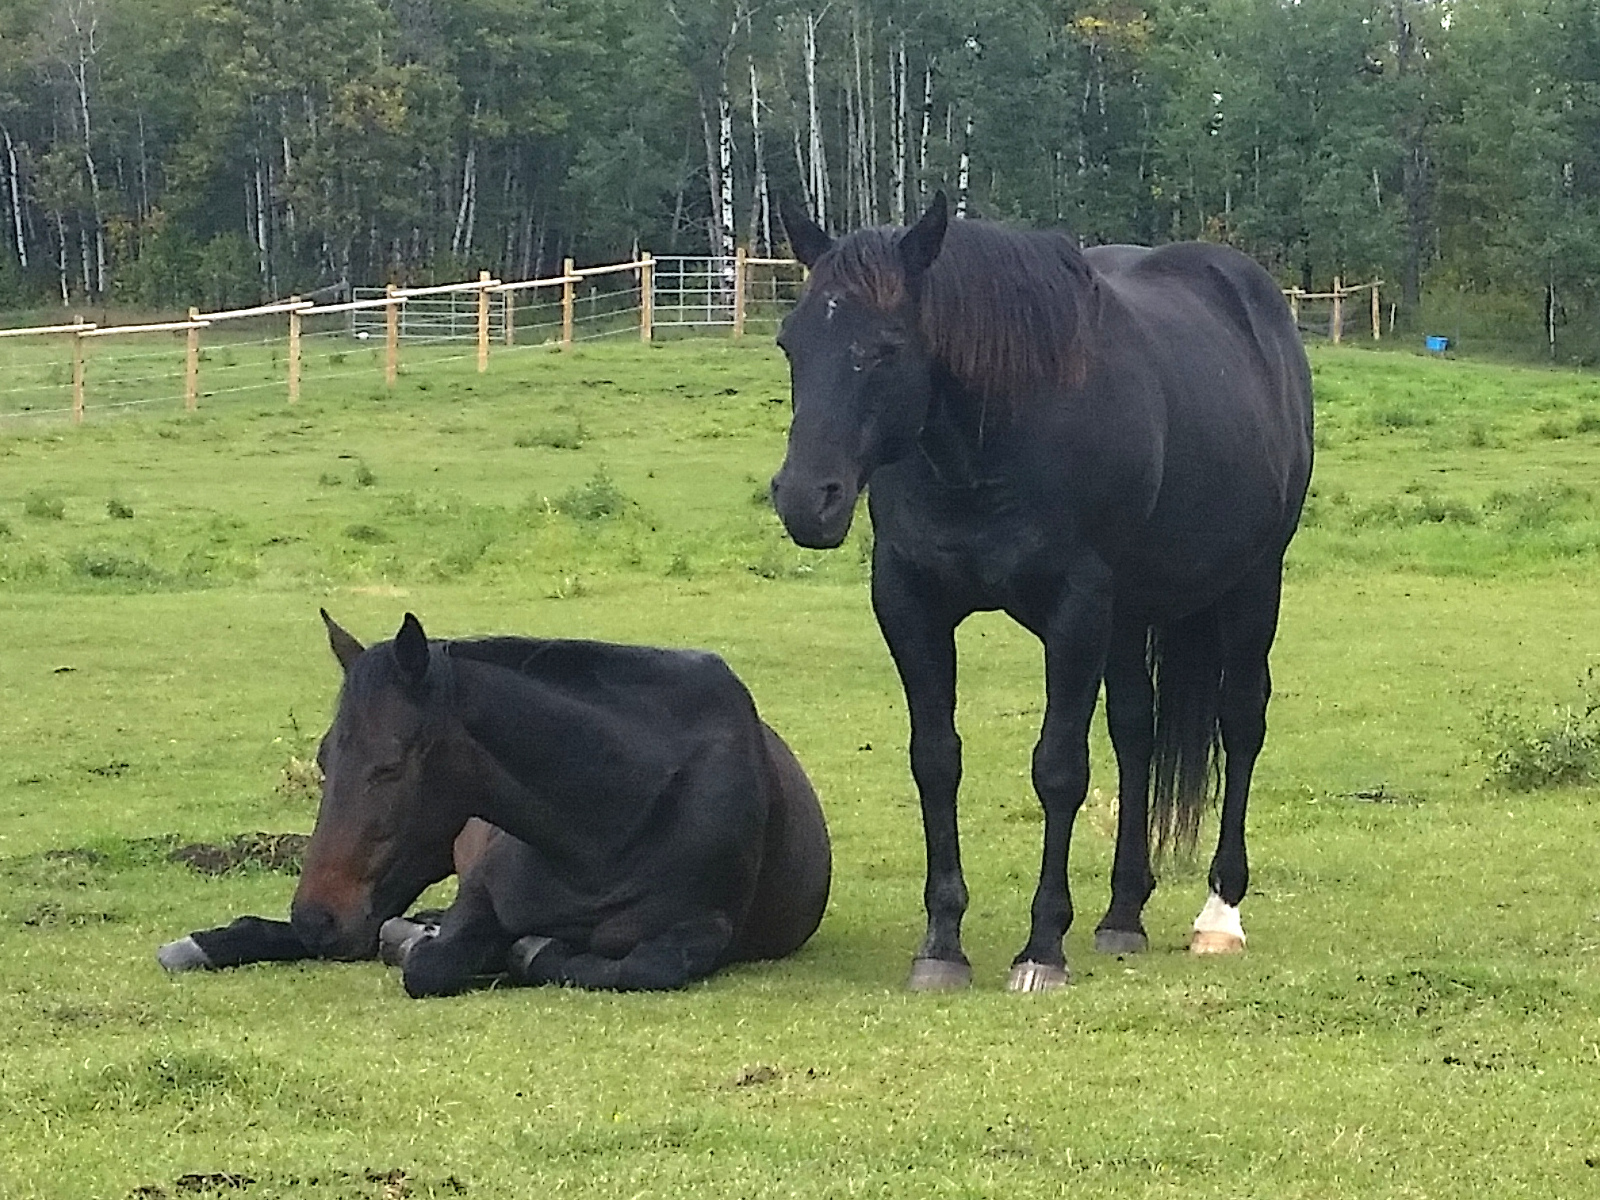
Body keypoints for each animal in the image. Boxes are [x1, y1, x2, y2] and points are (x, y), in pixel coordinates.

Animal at [159, 611, 838, 998]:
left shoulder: (701, 928)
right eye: (326, 759)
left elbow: (644, 968)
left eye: (390, 765)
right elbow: (430, 964)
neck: (610, 826)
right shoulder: (479, 900)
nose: (316, 917)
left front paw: (530, 951)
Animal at [771, 192, 1312, 992]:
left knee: (1241, 722)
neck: (990, 441)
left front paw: (1041, 947)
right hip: (1131, 615)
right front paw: (942, 945)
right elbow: (936, 760)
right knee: (1136, 732)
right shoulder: (910, 604)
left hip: (1250, 586)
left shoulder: (1076, 609)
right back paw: (1122, 914)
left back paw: (1219, 916)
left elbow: (1059, 768)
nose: (807, 498)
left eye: (888, 346)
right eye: (790, 343)